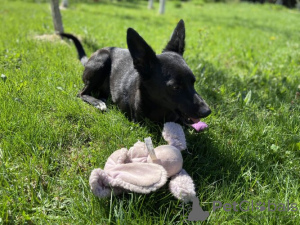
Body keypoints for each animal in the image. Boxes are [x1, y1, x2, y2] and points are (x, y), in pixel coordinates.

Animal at [60, 19, 211, 127]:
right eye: (175, 87)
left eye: (193, 82)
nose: (207, 111)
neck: (161, 109)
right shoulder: (141, 124)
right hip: (101, 62)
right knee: (81, 93)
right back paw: (98, 102)